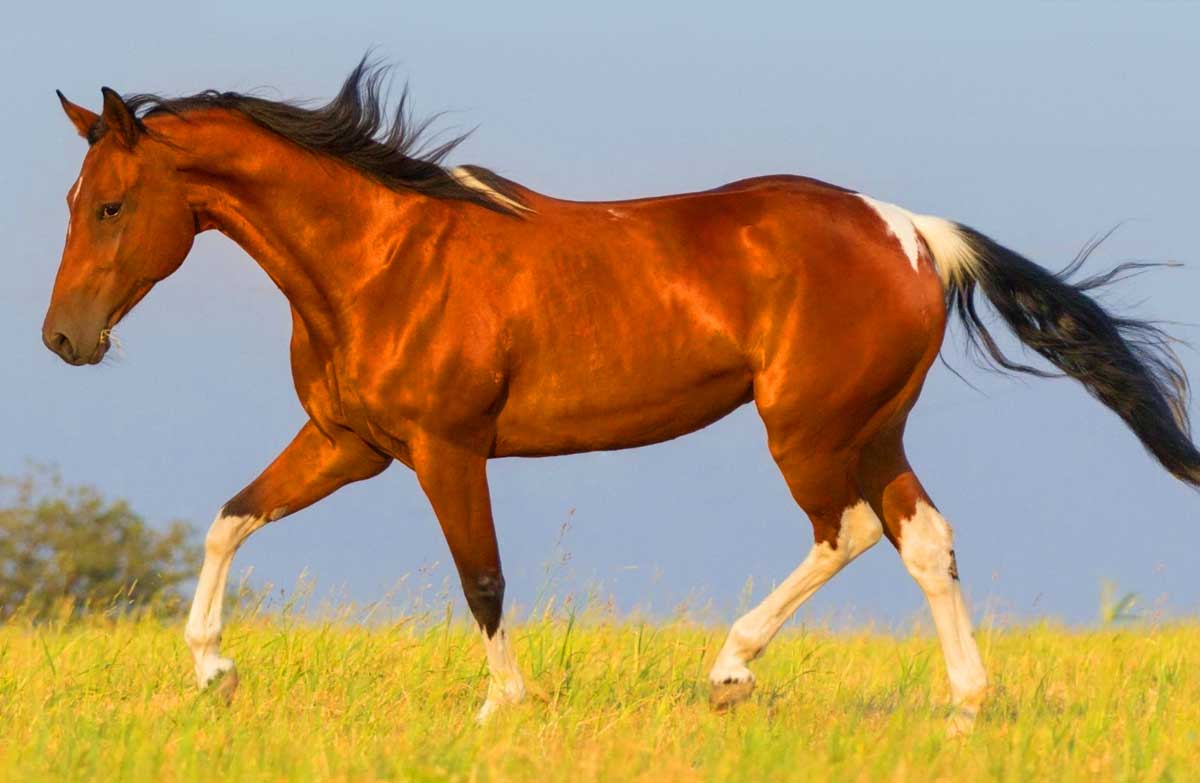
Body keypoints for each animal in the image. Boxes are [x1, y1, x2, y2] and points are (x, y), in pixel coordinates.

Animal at [44, 61, 1199, 732]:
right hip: (869, 427)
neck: (379, 259)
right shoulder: (345, 441)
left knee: (850, 530)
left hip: (808, 429)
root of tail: (915, 231)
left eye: (111, 206)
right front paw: (215, 672)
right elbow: (230, 519)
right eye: (73, 199)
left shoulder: (444, 448)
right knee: (924, 536)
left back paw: (730, 670)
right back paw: (964, 706)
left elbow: (482, 578)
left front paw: (503, 707)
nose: (64, 339)